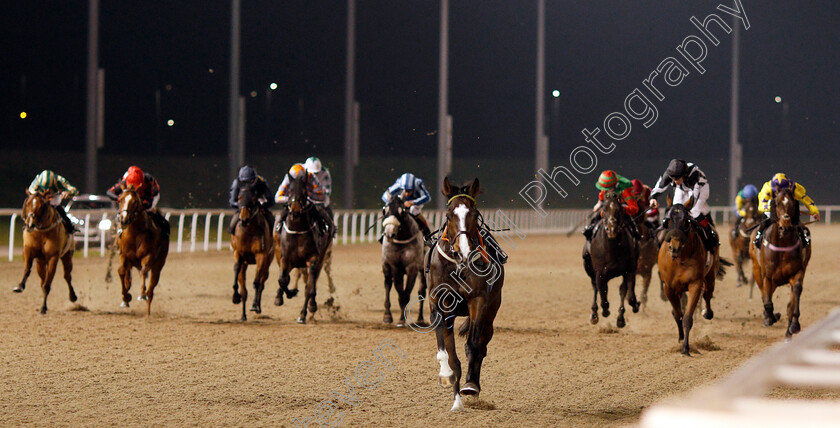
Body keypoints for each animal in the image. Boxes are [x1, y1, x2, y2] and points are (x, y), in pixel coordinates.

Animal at [115, 186, 170, 314]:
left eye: (135, 202)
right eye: (121, 199)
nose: (124, 220)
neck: (135, 233)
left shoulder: (148, 255)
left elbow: (144, 272)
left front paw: (141, 294)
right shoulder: (123, 255)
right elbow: (121, 271)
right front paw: (125, 297)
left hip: (158, 266)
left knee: (150, 290)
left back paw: (148, 312)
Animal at [384, 192, 430, 326]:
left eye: (402, 211)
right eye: (385, 210)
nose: (389, 233)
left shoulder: (412, 268)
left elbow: (407, 293)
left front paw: (402, 319)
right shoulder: (395, 267)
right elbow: (400, 292)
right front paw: (399, 319)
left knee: (421, 292)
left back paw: (420, 318)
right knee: (387, 284)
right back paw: (387, 316)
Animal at [426, 176, 506, 412]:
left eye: (475, 213)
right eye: (448, 214)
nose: (463, 250)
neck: (457, 265)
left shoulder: (478, 301)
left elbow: (473, 345)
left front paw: (470, 386)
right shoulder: (437, 303)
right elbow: (447, 353)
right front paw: (447, 378)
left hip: (492, 311)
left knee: (482, 344)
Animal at [580, 189, 640, 326]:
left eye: (620, 209)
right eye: (604, 208)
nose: (611, 229)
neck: (613, 249)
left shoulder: (629, 270)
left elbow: (629, 295)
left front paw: (634, 306)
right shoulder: (600, 273)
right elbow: (603, 297)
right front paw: (604, 311)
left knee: (622, 290)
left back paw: (621, 317)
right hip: (589, 267)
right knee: (595, 288)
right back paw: (594, 314)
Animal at [752, 187, 812, 338]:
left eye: (792, 203)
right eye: (777, 203)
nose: (785, 223)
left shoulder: (797, 272)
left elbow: (795, 294)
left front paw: (794, 325)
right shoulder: (768, 276)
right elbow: (767, 301)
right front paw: (770, 318)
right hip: (756, 268)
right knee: (764, 294)